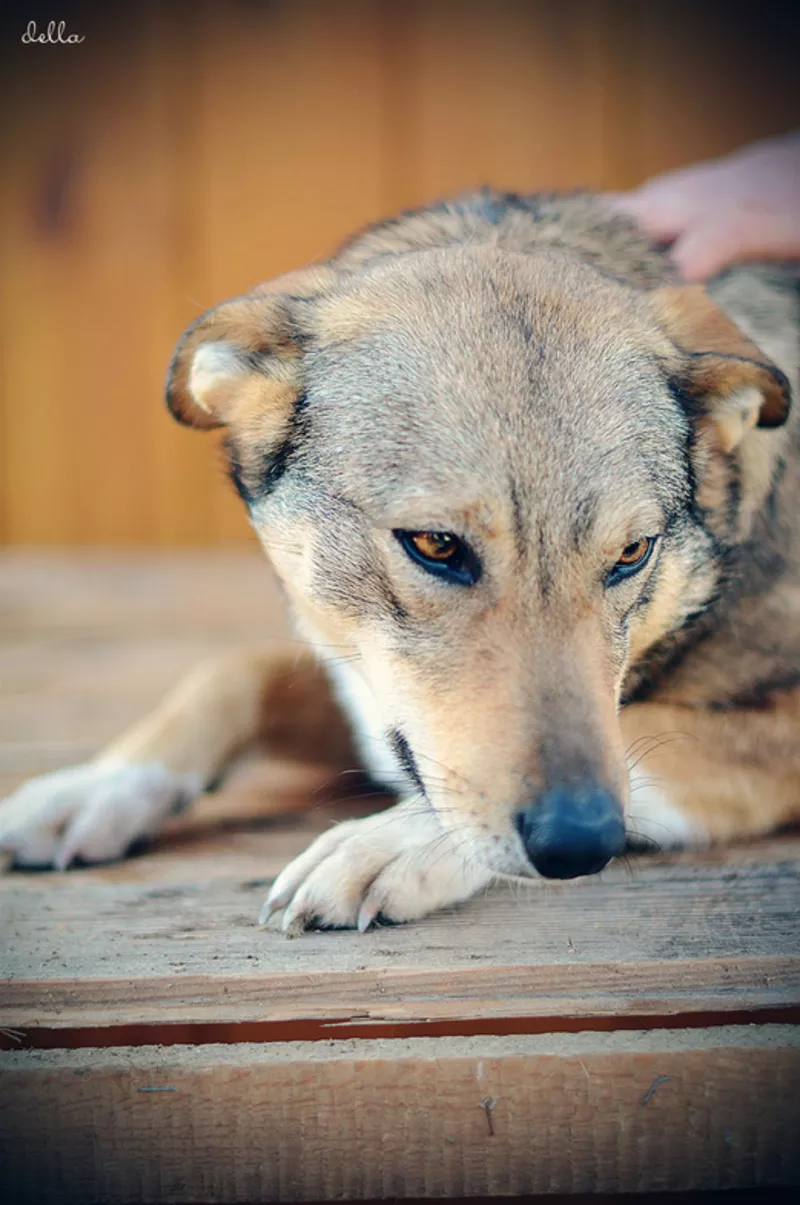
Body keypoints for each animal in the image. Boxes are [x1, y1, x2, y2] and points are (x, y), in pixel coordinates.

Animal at [1, 192, 800, 930]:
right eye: (436, 545)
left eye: (633, 553)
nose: (582, 843)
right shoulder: (355, 686)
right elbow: (234, 673)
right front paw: (97, 785)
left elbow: (640, 736)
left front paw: (395, 840)